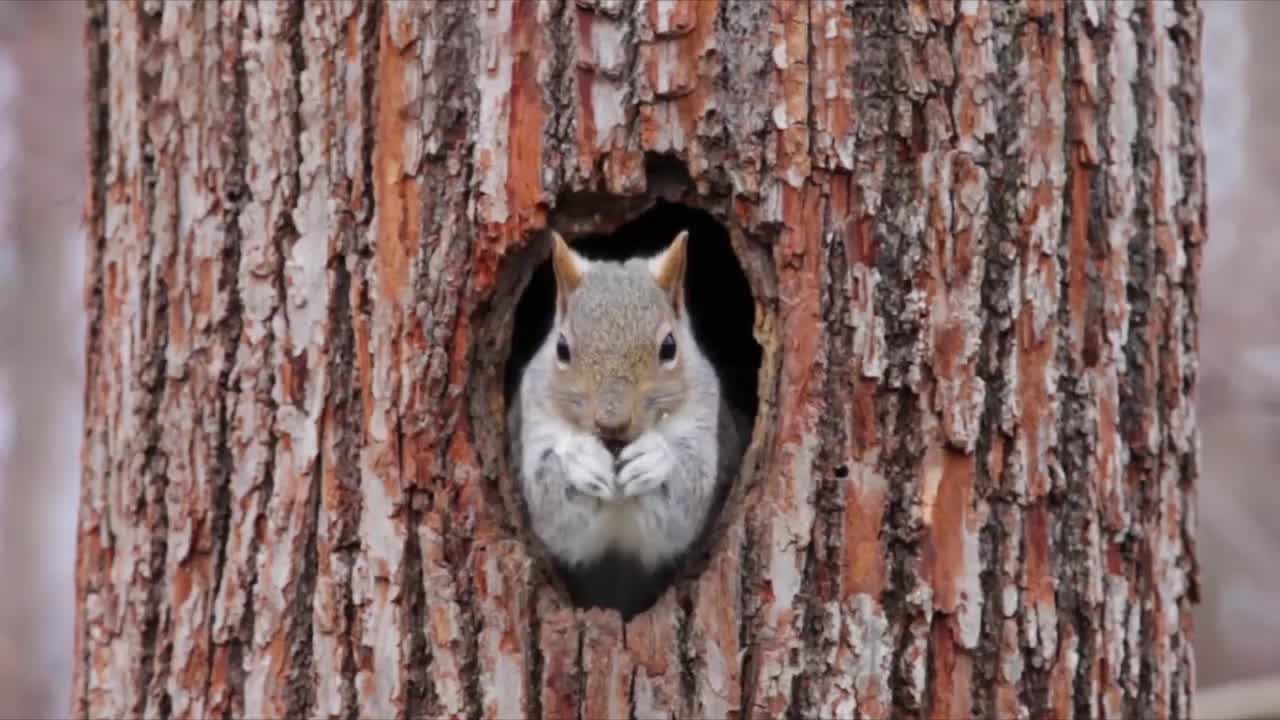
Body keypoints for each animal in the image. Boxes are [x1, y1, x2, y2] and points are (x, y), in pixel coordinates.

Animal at [508, 229, 749, 619]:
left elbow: (686, 502)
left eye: (669, 347)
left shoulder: (705, 426)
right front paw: (579, 459)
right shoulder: (532, 423)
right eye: (561, 348)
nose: (612, 423)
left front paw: (656, 459)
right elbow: (552, 508)